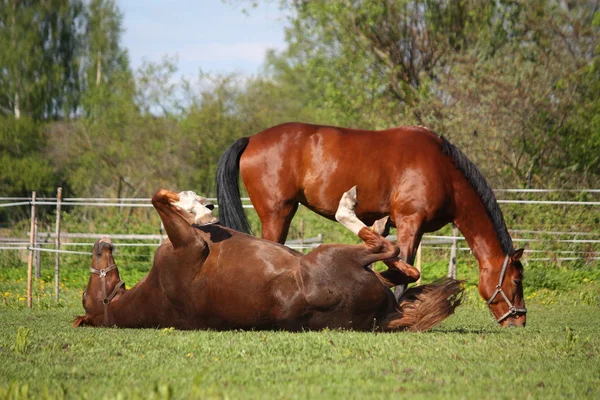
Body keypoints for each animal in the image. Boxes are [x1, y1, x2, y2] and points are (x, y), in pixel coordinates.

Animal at [72, 188, 462, 332]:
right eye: (87, 293)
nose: (100, 245)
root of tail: (384, 318)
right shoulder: (190, 246)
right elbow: (158, 199)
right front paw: (195, 206)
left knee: (402, 268)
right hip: (333, 255)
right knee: (392, 255)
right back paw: (349, 207)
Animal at [218, 123, 528, 326]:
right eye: (516, 281)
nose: (519, 321)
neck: (442, 170)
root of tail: (251, 138)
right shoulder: (410, 222)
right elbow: (406, 268)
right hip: (278, 213)